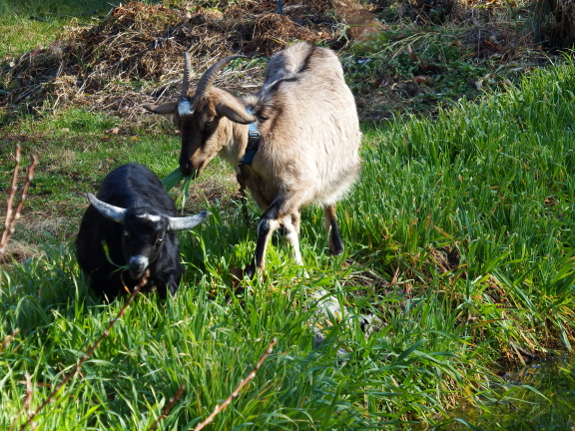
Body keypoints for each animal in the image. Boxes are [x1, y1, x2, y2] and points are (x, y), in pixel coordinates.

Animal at [75, 163, 208, 300]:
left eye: (160, 238)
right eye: (126, 232)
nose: (137, 264)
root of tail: (130, 164)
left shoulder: (169, 272)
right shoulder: (101, 279)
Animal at [144, 42, 360, 278]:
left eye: (209, 122)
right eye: (179, 124)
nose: (186, 167)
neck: (259, 138)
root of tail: (311, 46)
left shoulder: (298, 186)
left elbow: (265, 222)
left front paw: (257, 270)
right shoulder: (260, 191)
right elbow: (286, 228)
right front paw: (298, 267)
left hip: (337, 160)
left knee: (330, 199)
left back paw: (337, 248)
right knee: (296, 218)